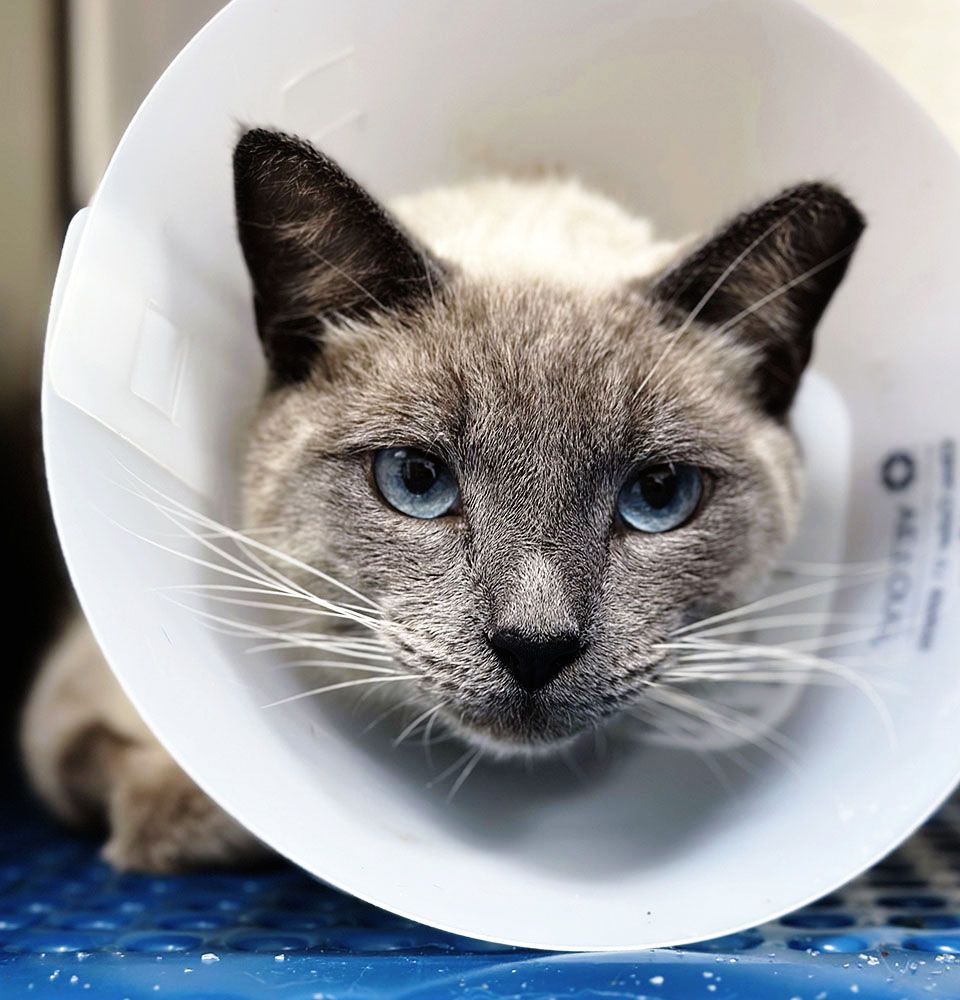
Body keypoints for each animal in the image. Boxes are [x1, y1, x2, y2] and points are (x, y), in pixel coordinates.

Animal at [20, 129, 864, 872]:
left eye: (658, 495)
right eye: (417, 481)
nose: (535, 646)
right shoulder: (61, 712)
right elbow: (105, 766)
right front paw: (178, 826)